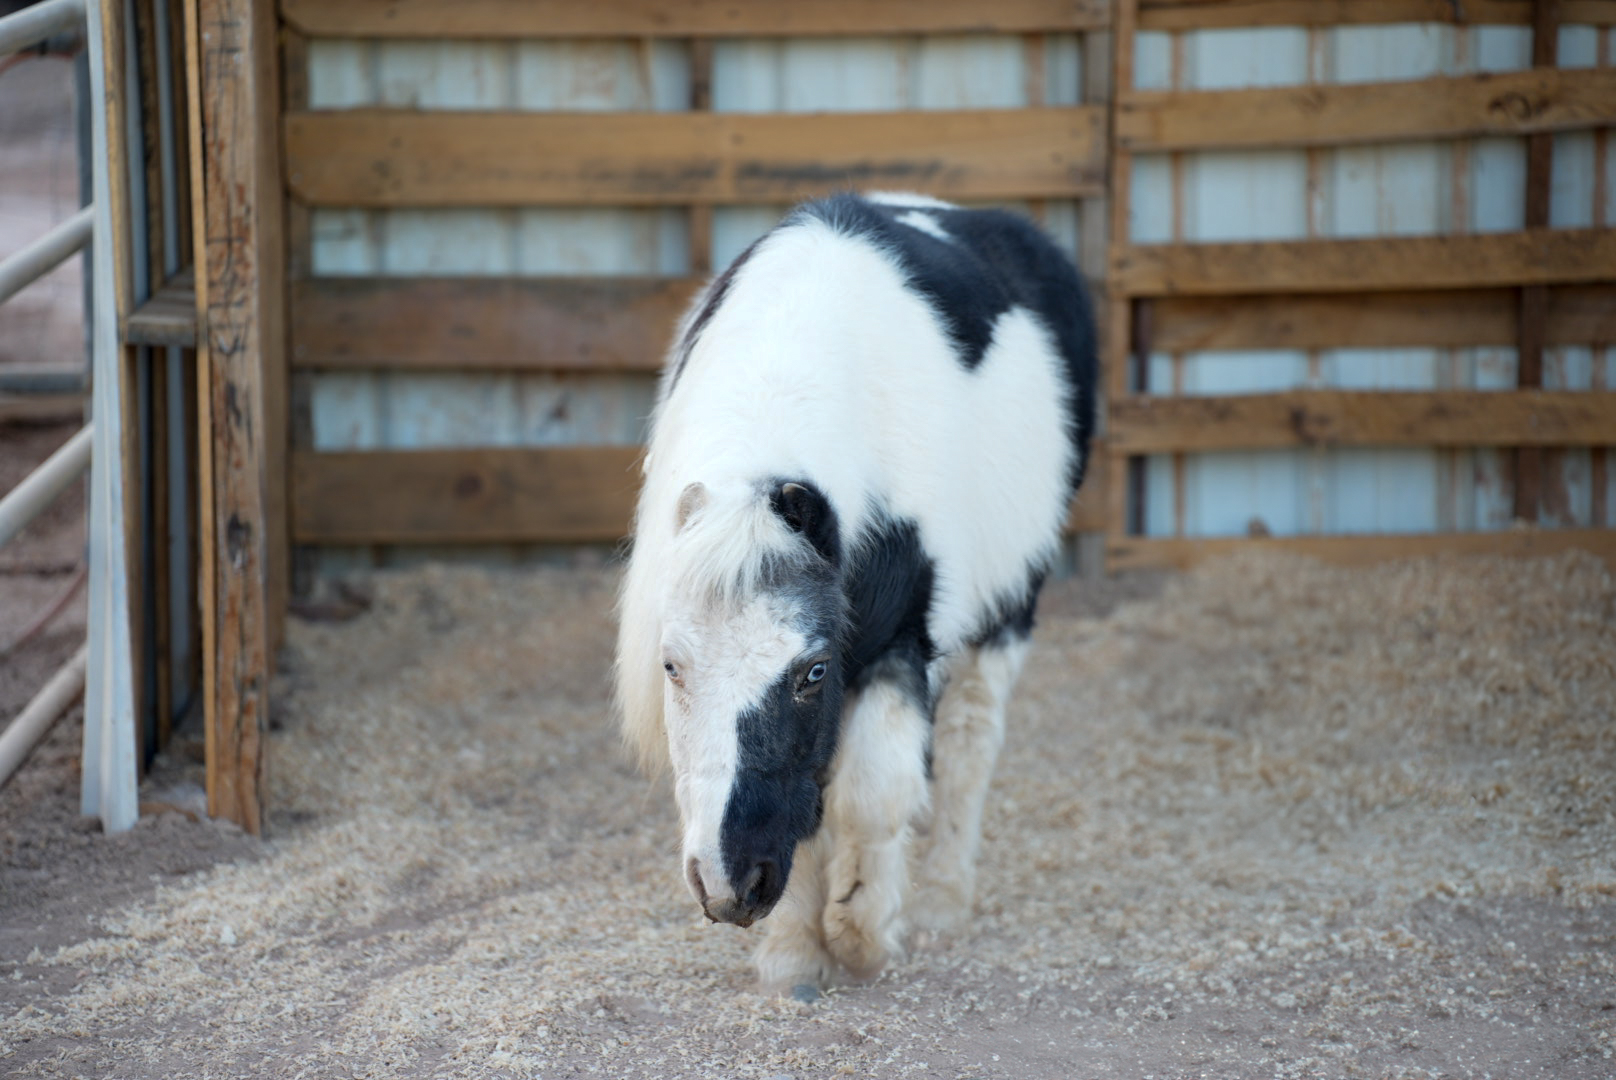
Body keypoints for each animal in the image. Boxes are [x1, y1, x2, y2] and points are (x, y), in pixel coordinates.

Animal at [615, 191, 1096, 993]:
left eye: (812, 672)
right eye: (671, 666)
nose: (729, 885)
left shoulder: (896, 645)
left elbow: (873, 794)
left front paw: (862, 932)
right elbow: (813, 799)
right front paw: (794, 955)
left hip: (1007, 609)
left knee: (968, 743)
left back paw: (941, 902)